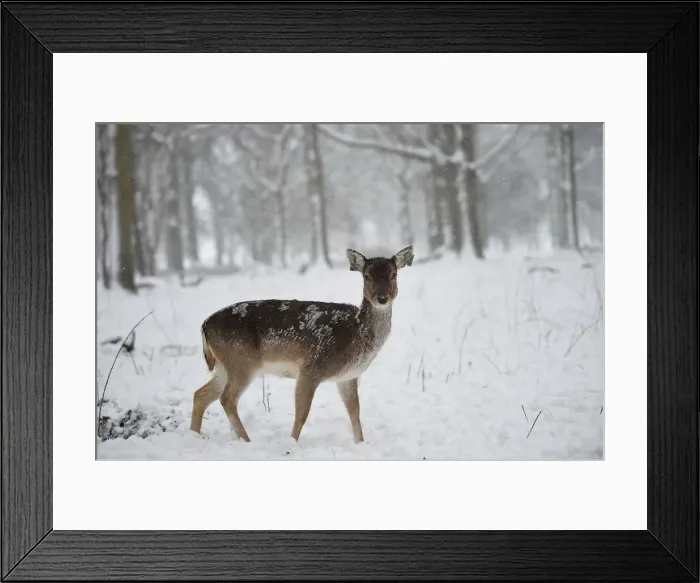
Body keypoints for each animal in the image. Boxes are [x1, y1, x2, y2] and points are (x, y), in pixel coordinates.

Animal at [189, 245, 414, 444]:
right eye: (367, 276)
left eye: (393, 274)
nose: (382, 298)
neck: (356, 334)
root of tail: (205, 326)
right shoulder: (310, 368)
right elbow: (302, 414)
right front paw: (291, 444)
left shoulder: (348, 376)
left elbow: (355, 412)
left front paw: (360, 443)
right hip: (241, 362)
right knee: (226, 399)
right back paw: (246, 440)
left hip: (225, 366)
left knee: (200, 394)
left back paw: (195, 434)